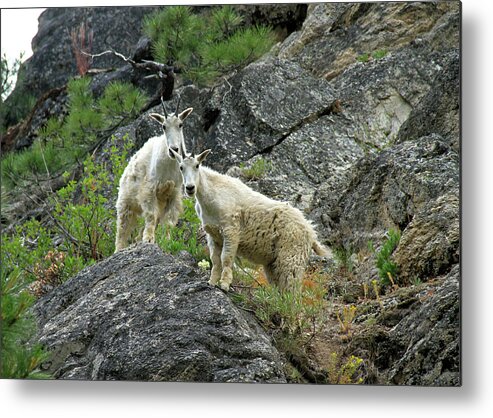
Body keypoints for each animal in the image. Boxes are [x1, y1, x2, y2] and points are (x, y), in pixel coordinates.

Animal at [114, 101, 193, 251]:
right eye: (163, 126)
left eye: (180, 124)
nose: (174, 150)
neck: (170, 164)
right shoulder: (149, 190)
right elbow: (151, 215)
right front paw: (149, 239)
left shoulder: (173, 193)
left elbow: (169, 220)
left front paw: (167, 240)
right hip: (125, 203)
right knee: (122, 229)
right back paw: (120, 249)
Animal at [171, 148, 328, 290]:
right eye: (181, 167)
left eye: (197, 165)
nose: (190, 188)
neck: (211, 196)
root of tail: (311, 233)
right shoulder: (213, 234)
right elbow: (215, 260)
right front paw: (211, 282)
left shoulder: (231, 230)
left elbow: (226, 258)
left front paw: (224, 285)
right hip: (273, 263)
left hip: (292, 256)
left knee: (292, 288)